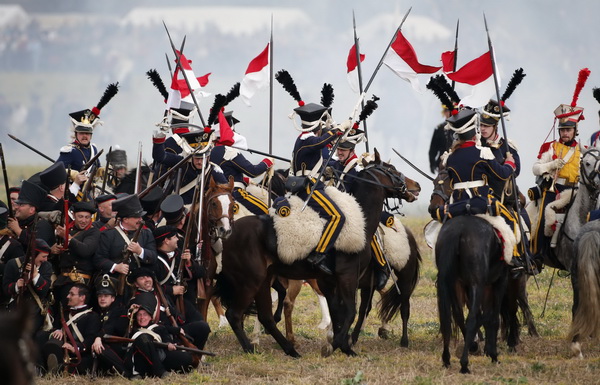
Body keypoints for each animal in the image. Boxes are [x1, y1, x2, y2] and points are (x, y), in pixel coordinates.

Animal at [214, 148, 418, 356]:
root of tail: (227, 234)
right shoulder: (347, 277)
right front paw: (340, 344)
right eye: (390, 169)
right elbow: (349, 311)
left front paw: (337, 343)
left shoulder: (330, 281)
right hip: (252, 281)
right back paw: (252, 347)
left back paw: (290, 350)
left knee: (265, 316)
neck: (363, 220)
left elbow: (339, 312)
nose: (415, 186)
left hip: (264, 280)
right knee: (235, 314)